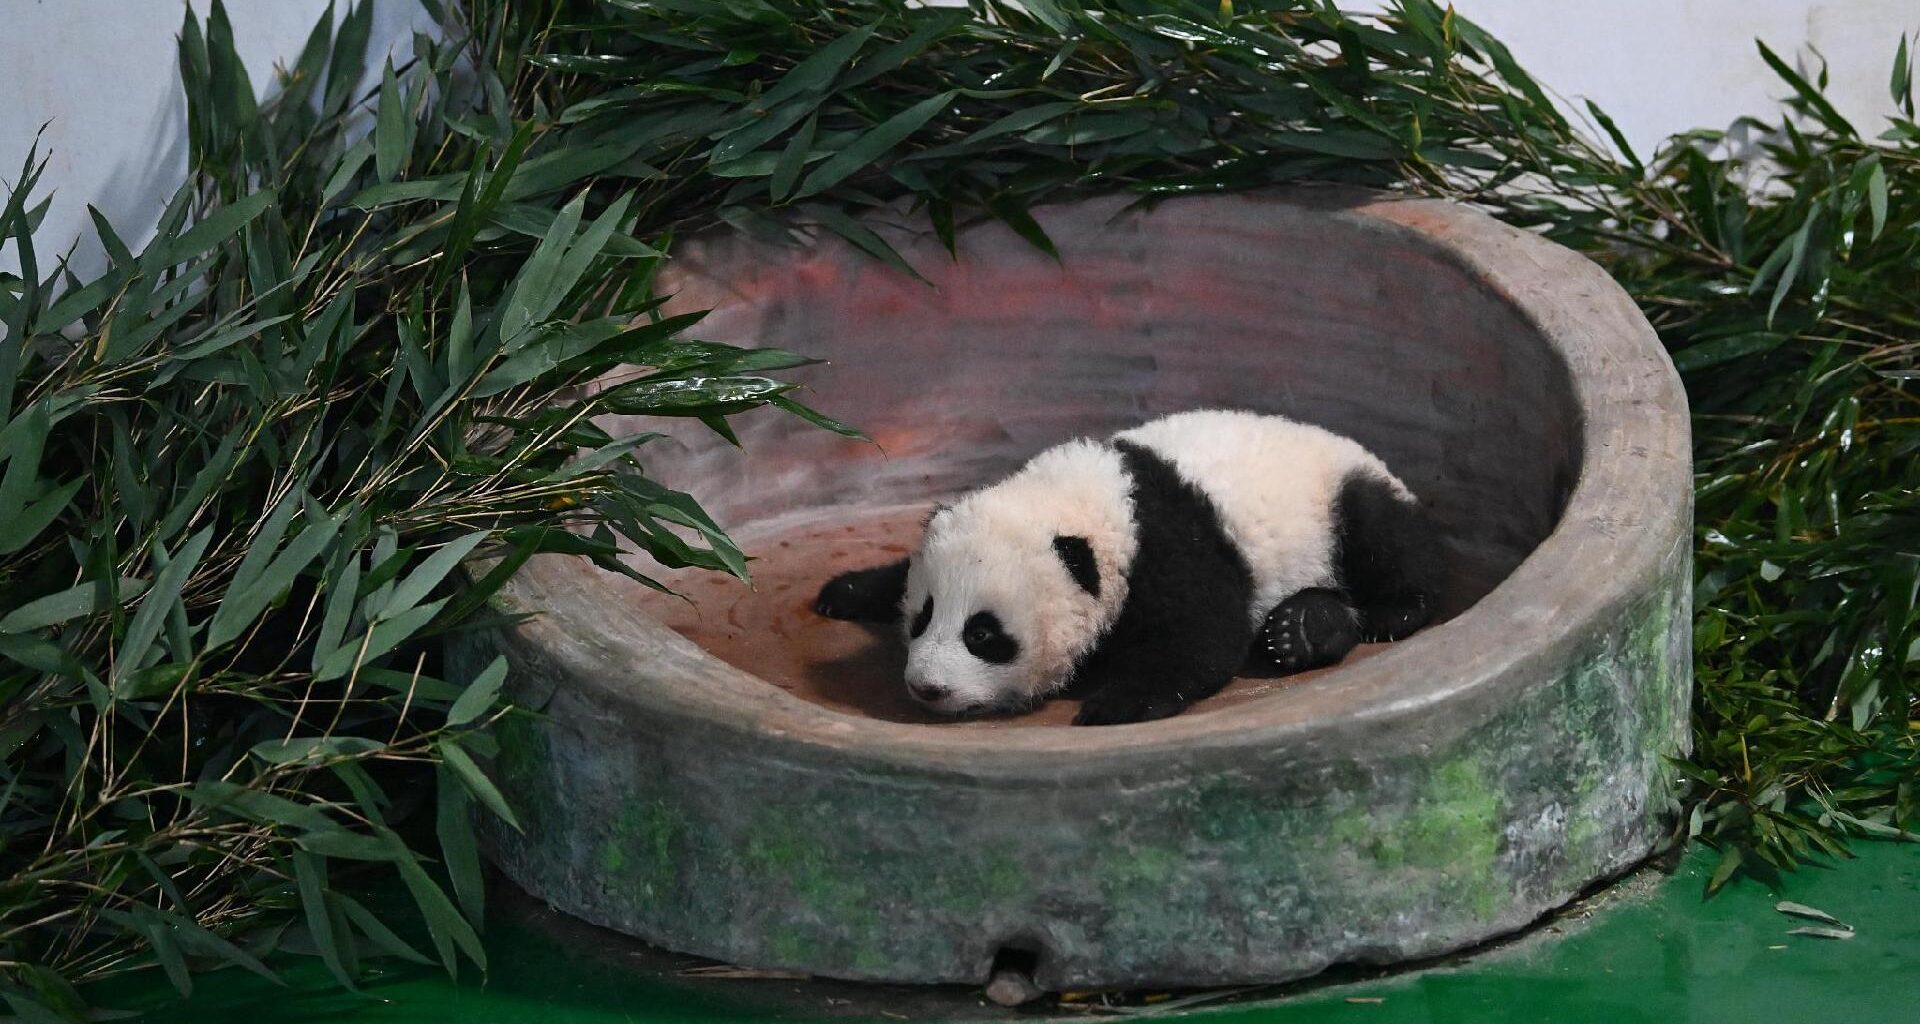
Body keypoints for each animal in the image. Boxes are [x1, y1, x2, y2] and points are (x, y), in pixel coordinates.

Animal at [813, 409, 1441, 726]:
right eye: (922, 617)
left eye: (983, 634)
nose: (927, 688)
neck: (1098, 500)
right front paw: (846, 590)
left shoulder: (1172, 550)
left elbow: (1201, 637)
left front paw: (1116, 702)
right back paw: (1302, 626)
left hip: (1337, 501)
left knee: (1384, 539)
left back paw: (1349, 620)